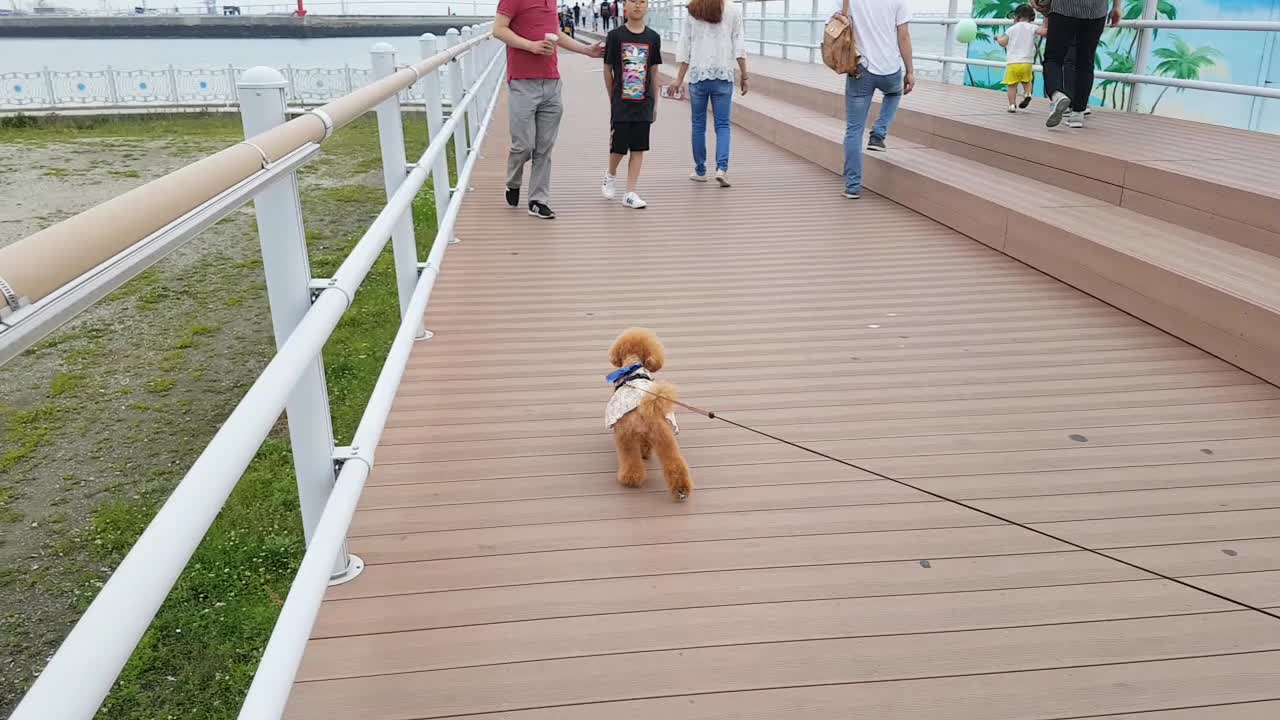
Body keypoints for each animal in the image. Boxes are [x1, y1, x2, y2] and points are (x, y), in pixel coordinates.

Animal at [606, 326, 696, 499]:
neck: (633, 367)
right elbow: (646, 446)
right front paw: (646, 454)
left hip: (625, 437)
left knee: (631, 462)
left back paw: (629, 479)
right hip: (665, 438)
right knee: (675, 464)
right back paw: (681, 489)